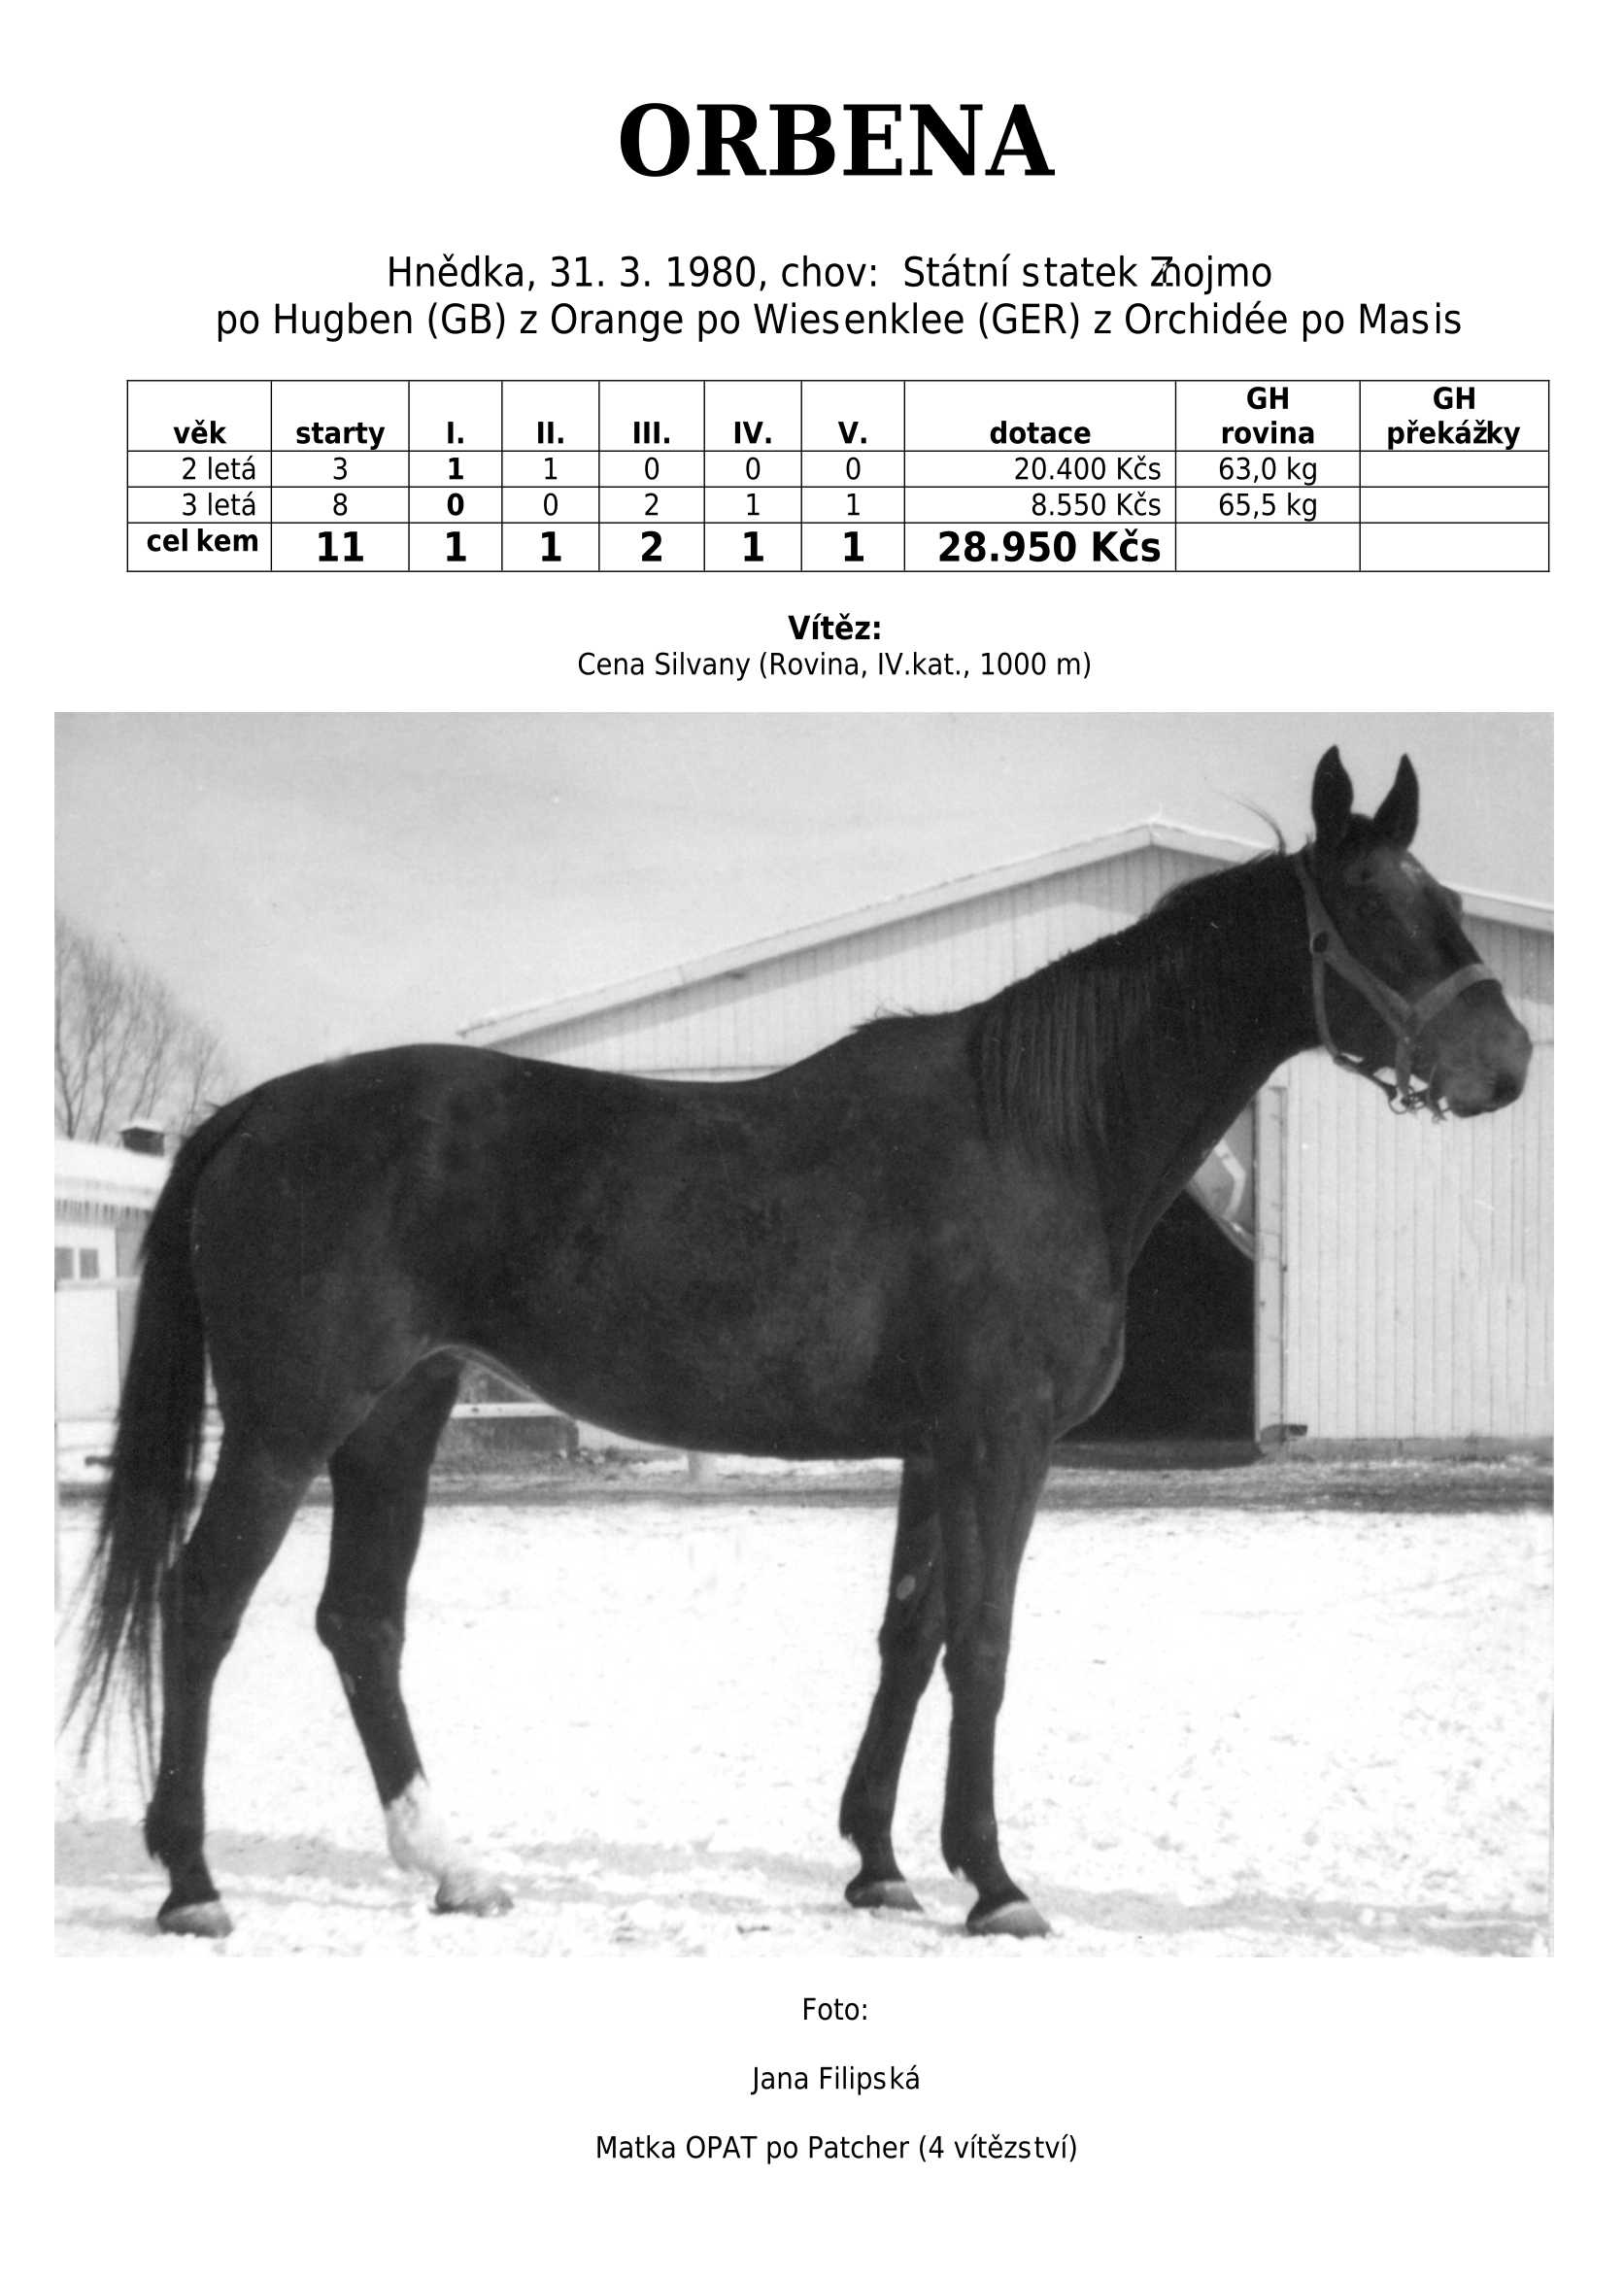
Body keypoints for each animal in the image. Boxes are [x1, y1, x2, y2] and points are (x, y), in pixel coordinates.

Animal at [68, 748, 1533, 1938]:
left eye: (1446, 899)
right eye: (1374, 910)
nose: (1508, 1061)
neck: (1041, 1136)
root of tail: (256, 1111)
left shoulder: (933, 1448)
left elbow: (908, 1633)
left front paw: (880, 1863)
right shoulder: (998, 1442)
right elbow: (983, 1641)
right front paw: (994, 1881)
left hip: (399, 1415)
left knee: (360, 1620)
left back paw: (453, 1866)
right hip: (288, 1423)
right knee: (204, 1604)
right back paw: (191, 1881)